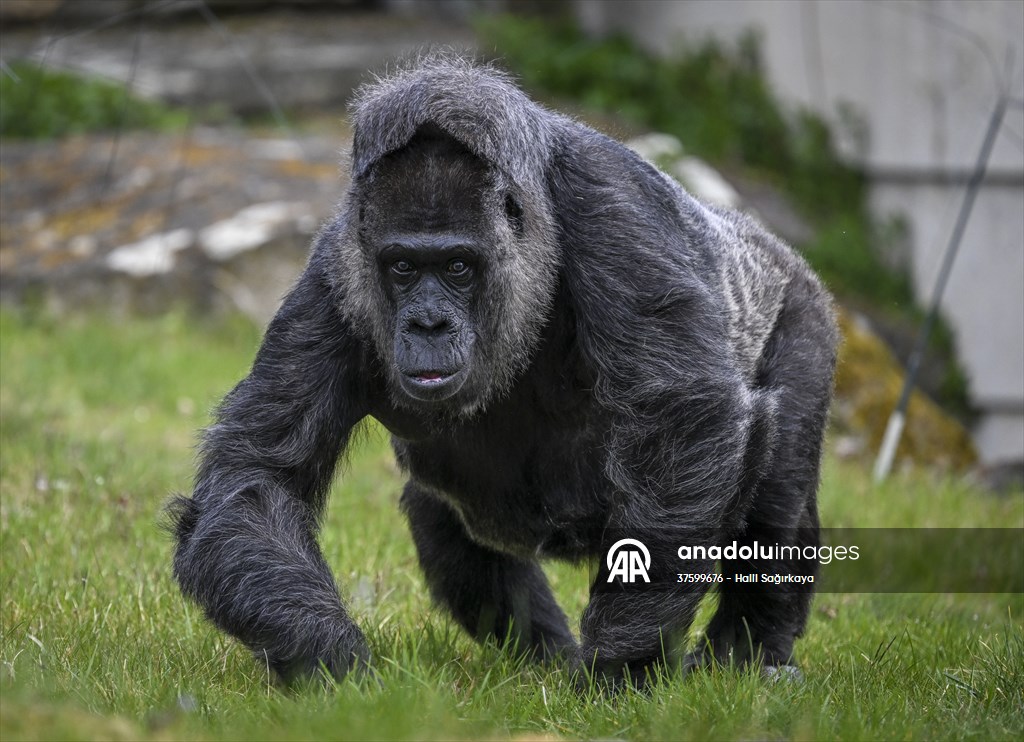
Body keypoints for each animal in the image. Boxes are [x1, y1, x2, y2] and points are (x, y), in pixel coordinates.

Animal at [168, 53, 838, 689]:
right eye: (403, 267)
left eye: (458, 267)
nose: (428, 325)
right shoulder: (335, 278)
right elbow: (259, 478)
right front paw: (332, 664)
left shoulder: (612, 208)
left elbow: (681, 415)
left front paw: (622, 665)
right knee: (439, 516)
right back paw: (548, 659)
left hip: (803, 308)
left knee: (776, 494)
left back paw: (749, 655)